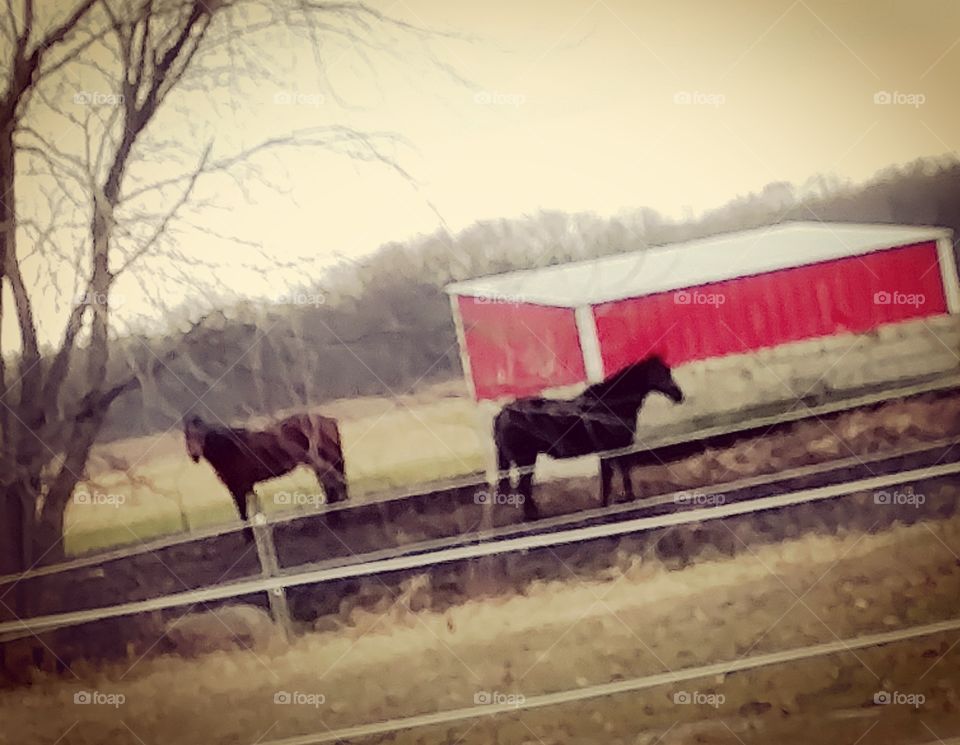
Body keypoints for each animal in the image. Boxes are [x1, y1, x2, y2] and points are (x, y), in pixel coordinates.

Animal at [183, 412, 348, 535]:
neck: (230, 450)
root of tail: (327, 420)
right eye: (186, 435)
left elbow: (244, 515)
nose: (194, 455)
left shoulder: (238, 488)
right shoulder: (246, 487)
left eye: (200, 434)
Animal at [493, 354, 684, 520]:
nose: (679, 395)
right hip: (526, 459)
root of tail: (503, 414)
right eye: (659, 373)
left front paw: (626, 498)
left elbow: (621, 473)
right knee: (524, 487)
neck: (606, 407)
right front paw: (609, 503)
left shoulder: (619, 449)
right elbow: (609, 476)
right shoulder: (609, 450)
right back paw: (532, 516)